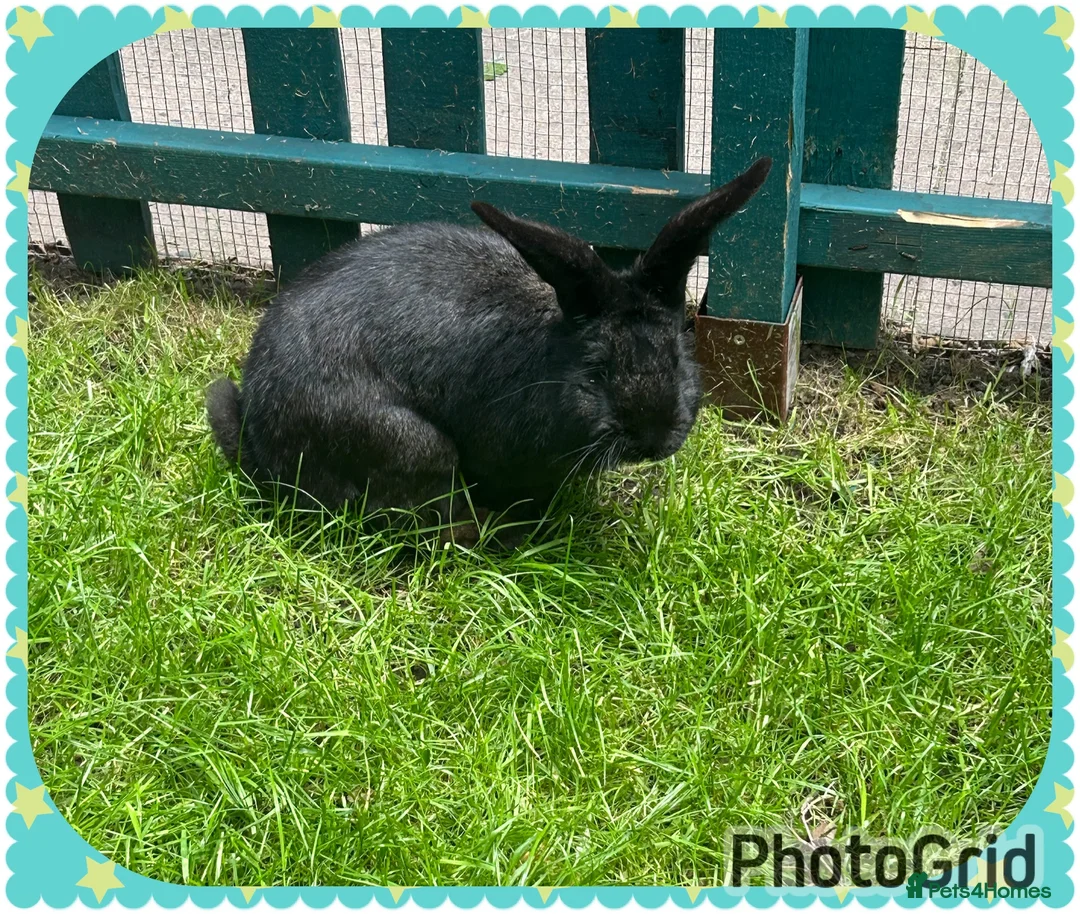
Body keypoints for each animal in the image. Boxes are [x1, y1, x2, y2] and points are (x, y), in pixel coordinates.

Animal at [207, 157, 772, 542]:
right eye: (597, 370)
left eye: (677, 356)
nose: (653, 439)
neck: (549, 359)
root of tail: (264, 451)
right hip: (415, 445)